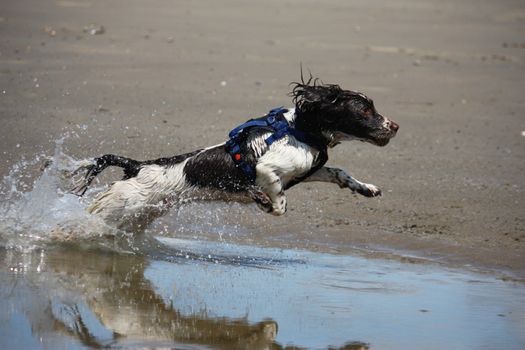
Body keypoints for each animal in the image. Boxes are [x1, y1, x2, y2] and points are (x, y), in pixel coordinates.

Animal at [69, 77, 398, 230]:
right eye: (365, 110)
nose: (394, 126)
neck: (300, 131)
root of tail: (137, 166)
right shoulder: (267, 169)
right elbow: (279, 202)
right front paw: (264, 203)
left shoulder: (307, 170)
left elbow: (339, 172)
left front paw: (366, 188)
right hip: (116, 207)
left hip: (139, 214)